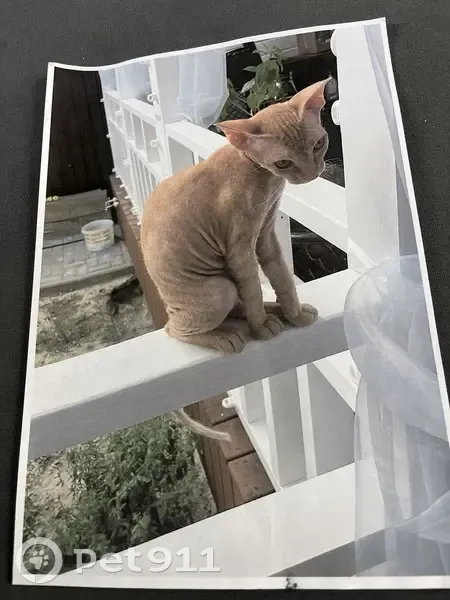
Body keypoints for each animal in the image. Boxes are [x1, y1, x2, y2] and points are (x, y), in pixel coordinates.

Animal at [141, 78, 330, 441]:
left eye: (318, 145)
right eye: (283, 163)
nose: (312, 174)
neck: (263, 179)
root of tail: (170, 308)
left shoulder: (265, 236)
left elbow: (282, 278)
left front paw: (294, 314)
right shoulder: (239, 247)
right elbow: (253, 286)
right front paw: (261, 328)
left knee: (236, 302)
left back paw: (270, 311)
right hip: (217, 289)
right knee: (182, 327)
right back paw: (227, 334)